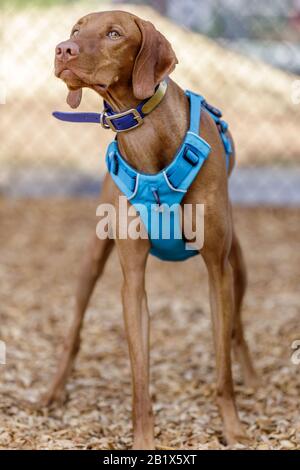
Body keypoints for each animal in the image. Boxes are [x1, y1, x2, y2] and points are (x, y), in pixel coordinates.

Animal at [38, 10, 258, 448]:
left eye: (114, 33)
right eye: (76, 30)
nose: (63, 49)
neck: (146, 133)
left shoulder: (217, 269)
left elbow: (222, 361)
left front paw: (233, 428)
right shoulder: (132, 281)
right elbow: (140, 377)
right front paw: (143, 439)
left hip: (237, 268)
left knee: (237, 331)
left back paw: (254, 380)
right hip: (92, 261)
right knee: (73, 332)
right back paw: (53, 392)